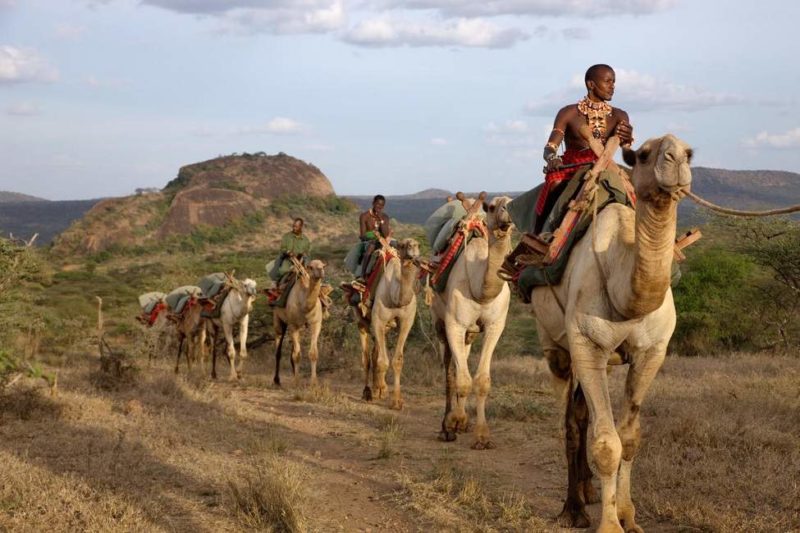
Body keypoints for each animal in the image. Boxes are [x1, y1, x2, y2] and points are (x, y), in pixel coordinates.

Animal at [274, 258, 326, 386]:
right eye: (311, 267)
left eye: (323, 265)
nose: (320, 271)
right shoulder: (293, 324)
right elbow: (297, 355)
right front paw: (296, 381)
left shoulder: (316, 324)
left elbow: (313, 353)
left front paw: (314, 382)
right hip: (278, 318)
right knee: (278, 349)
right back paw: (277, 380)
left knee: (292, 349)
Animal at [360, 237, 422, 408]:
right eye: (402, 245)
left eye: (418, 245)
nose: (413, 247)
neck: (395, 298)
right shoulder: (378, 320)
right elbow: (382, 360)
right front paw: (381, 392)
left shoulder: (407, 322)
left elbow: (397, 360)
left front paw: (396, 401)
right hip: (362, 320)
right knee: (367, 357)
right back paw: (368, 392)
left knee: (375, 352)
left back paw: (378, 388)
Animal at [432, 193, 512, 446]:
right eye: (493, 207)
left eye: (512, 201)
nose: (507, 215)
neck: (480, 289)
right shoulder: (454, 324)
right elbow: (461, 378)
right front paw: (455, 422)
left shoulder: (495, 326)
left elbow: (482, 380)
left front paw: (482, 435)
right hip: (439, 322)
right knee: (449, 369)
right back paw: (447, 426)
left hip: (470, 333)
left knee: (463, 361)